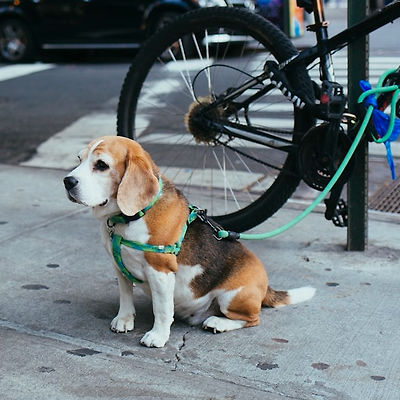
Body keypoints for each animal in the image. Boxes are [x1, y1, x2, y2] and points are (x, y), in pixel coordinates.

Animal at [65, 137, 316, 346]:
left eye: (101, 165)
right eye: (79, 159)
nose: (67, 181)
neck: (130, 218)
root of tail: (266, 287)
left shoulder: (160, 271)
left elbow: (162, 309)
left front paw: (157, 336)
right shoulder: (119, 266)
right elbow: (126, 296)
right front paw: (125, 320)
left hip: (232, 297)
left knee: (253, 319)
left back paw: (219, 323)